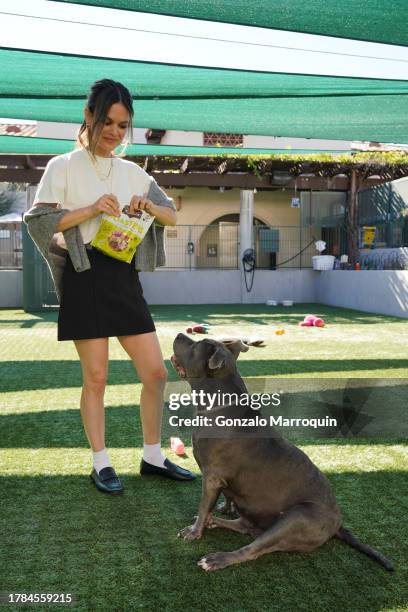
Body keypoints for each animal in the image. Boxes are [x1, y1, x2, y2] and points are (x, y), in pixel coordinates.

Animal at [171, 332, 394, 572]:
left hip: (297, 517)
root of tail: (338, 524)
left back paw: (216, 558)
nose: (179, 334)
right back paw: (216, 523)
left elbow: (204, 506)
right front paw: (221, 510)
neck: (219, 405)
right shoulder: (222, 480)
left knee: (253, 548)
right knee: (246, 526)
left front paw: (194, 531)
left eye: (197, 345)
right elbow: (224, 498)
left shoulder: (212, 476)